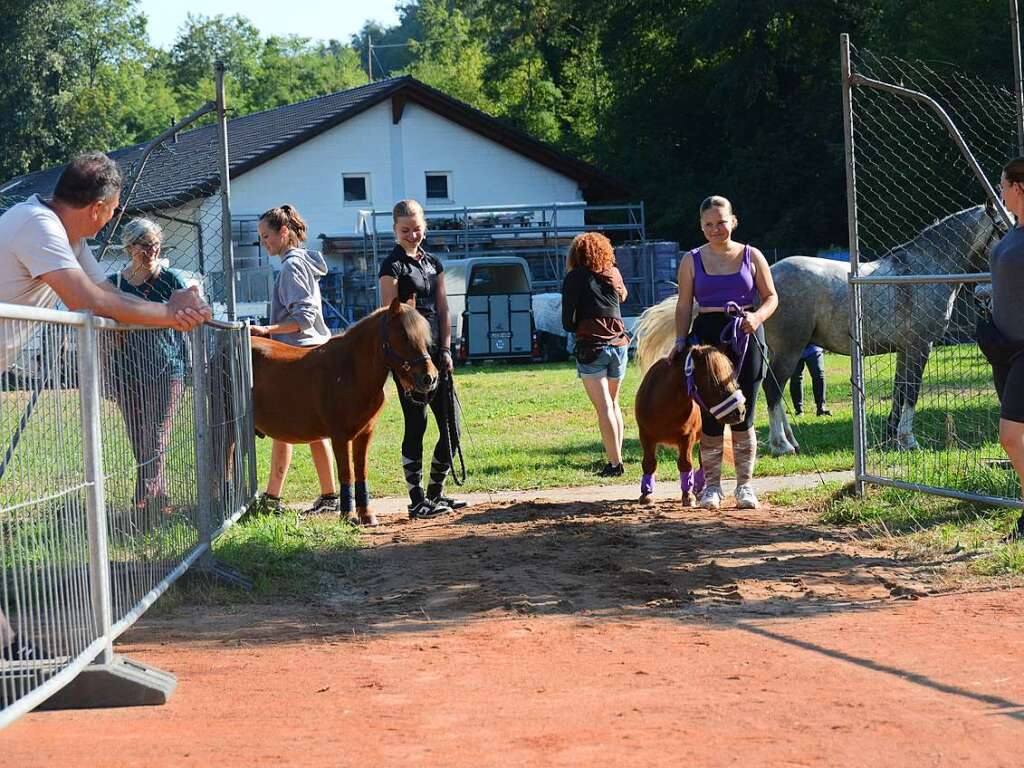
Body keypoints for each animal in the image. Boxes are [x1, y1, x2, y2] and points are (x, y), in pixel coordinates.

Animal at [252, 296, 440, 528]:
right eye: (404, 335)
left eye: (425, 336)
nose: (430, 378)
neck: (350, 372)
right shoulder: (340, 437)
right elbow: (346, 474)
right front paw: (348, 515)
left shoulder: (364, 435)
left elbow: (360, 471)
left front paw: (366, 514)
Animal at [630, 309, 745, 507]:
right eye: (713, 382)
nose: (740, 411)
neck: (664, 407)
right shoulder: (645, 436)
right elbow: (649, 463)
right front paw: (646, 494)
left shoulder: (687, 438)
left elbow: (685, 463)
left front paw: (687, 495)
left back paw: (701, 489)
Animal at [770, 205, 999, 456]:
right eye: (1004, 225)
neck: (924, 271)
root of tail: (770, 272)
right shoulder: (920, 346)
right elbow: (911, 391)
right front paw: (909, 441)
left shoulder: (905, 350)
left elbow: (899, 392)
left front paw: (891, 438)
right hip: (789, 350)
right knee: (772, 388)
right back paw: (781, 445)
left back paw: (792, 441)